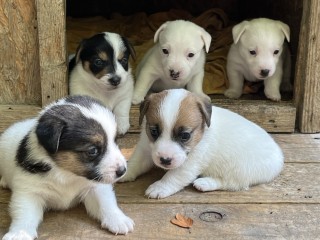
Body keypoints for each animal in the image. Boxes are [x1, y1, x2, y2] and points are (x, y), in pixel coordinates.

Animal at [0, 94, 134, 239]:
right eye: (92, 151)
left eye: (115, 141)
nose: (123, 171)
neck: (67, 173)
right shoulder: (29, 192)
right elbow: (24, 214)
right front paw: (20, 233)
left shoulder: (95, 187)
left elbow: (106, 202)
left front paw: (117, 219)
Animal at [121, 88, 284, 199]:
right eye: (154, 131)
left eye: (185, 135)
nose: (165, 160)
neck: (202, 133)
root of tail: (279, 158)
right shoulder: (144, 150)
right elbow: (134, 163)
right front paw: (123, 172)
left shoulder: (190, 163)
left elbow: (173, 176)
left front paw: (160, 186)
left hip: (239, 169)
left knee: (232, 184)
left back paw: (205, 183)